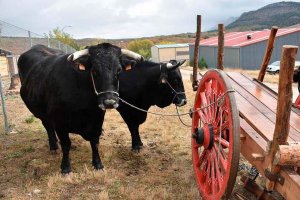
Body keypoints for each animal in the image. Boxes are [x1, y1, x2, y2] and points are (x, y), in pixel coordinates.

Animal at [18, 43, 143, 173]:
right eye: (94, 70)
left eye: (119, 70)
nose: (109, 102)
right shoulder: (60, 122)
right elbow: (66, 144)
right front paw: (65, 167)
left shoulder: (97, 119)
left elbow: (95, 141)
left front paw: (98, 164)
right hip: (42, 113)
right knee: (48, 126)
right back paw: (53, 146)